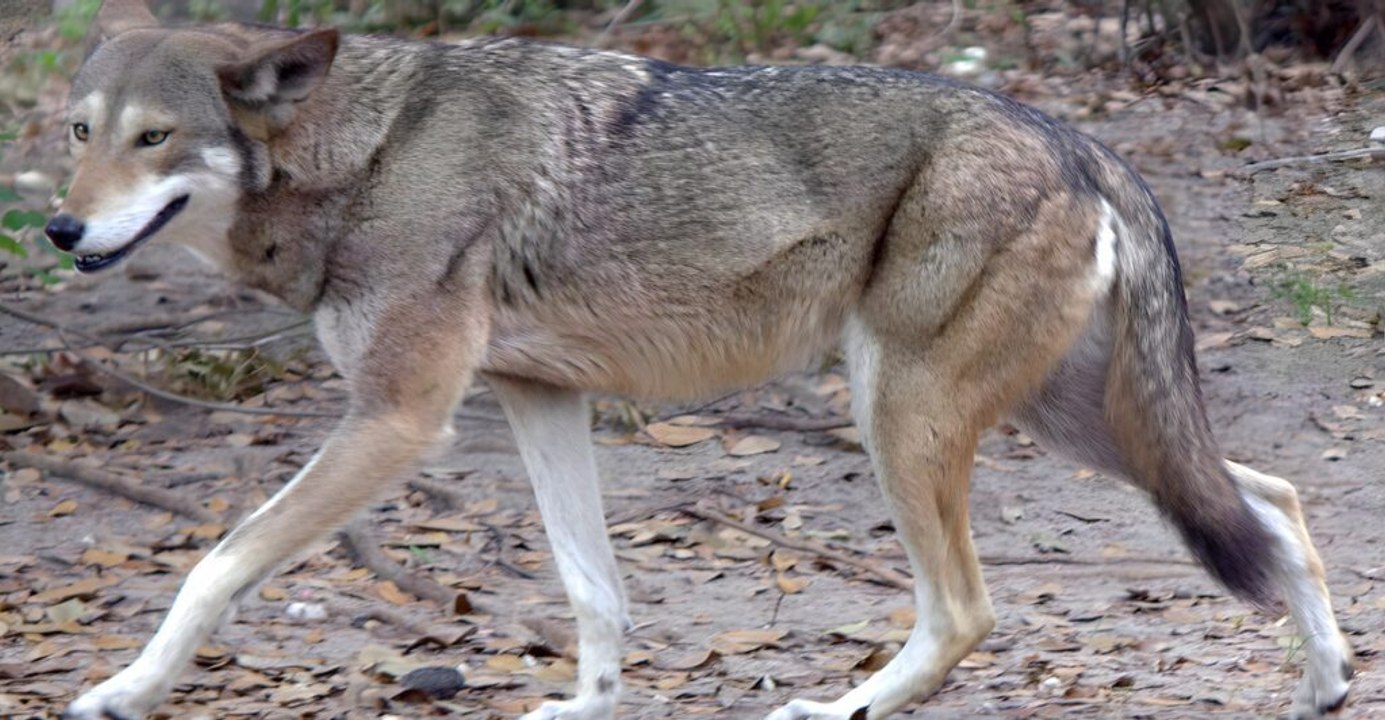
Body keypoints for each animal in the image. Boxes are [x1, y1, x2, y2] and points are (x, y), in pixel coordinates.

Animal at [50, 1, 1353, 718]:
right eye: (77, 134)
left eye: (153, 139)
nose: (60, 229)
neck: (365, 155)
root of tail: (1076, 138)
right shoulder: (536, 400)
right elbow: (595, 591)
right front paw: (585, 707)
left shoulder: (396, 419)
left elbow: (215, 565)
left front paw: (122, 691)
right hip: (1071, 425)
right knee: (1274, 498)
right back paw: (1324, 683)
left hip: (906, 417)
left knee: (965, 612)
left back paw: (836, 708)